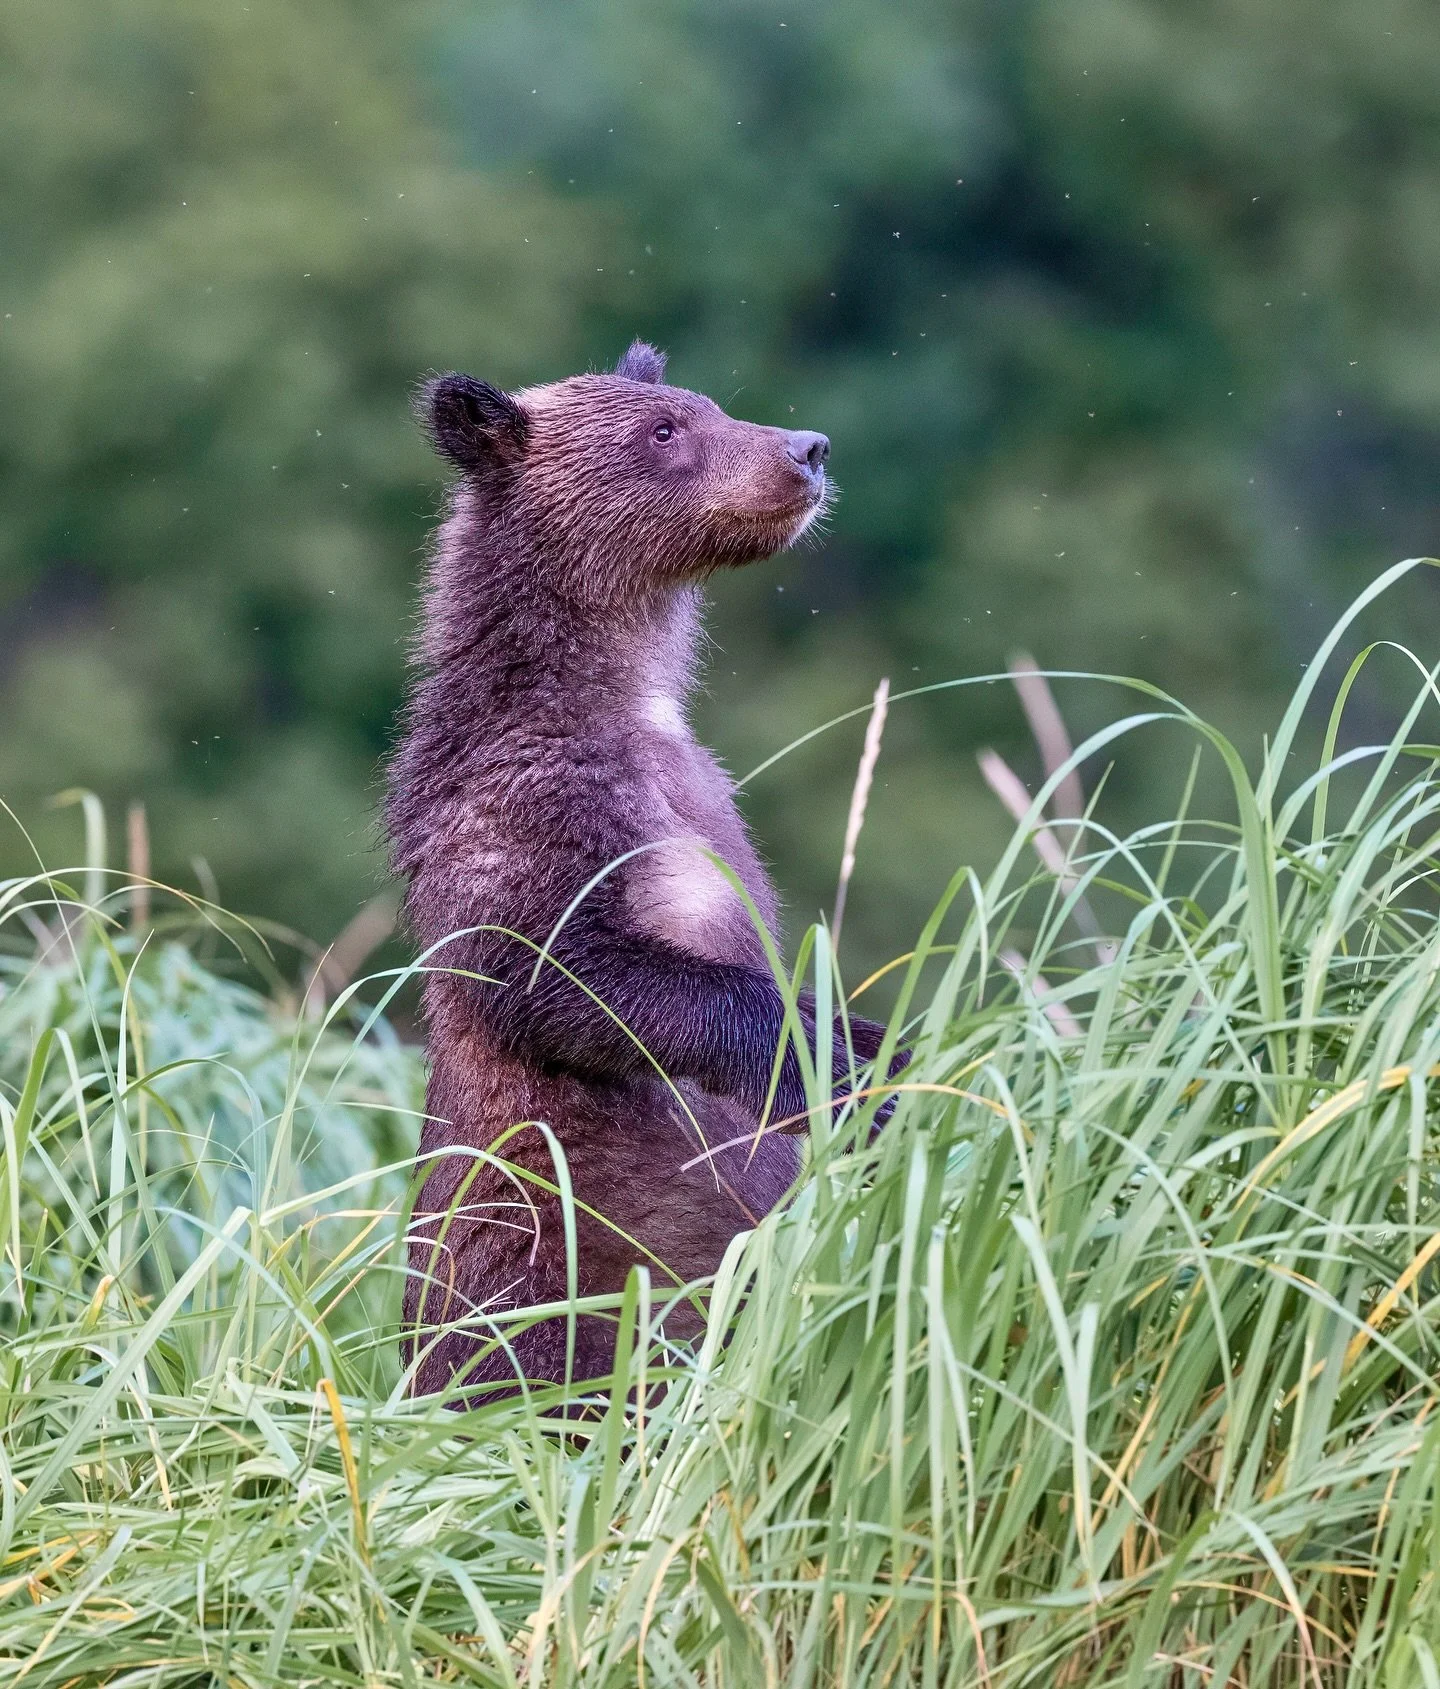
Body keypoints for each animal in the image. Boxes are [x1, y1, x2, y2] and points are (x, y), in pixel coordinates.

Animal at [386, 341, 894, 1399]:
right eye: (665, 431)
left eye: (706, 404)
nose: (807, 447)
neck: (622, 698)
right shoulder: (529, 813)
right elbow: (566, 975)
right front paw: (841, 1074)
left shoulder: (704, 797)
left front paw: (889, 1039)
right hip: (552, 1289)